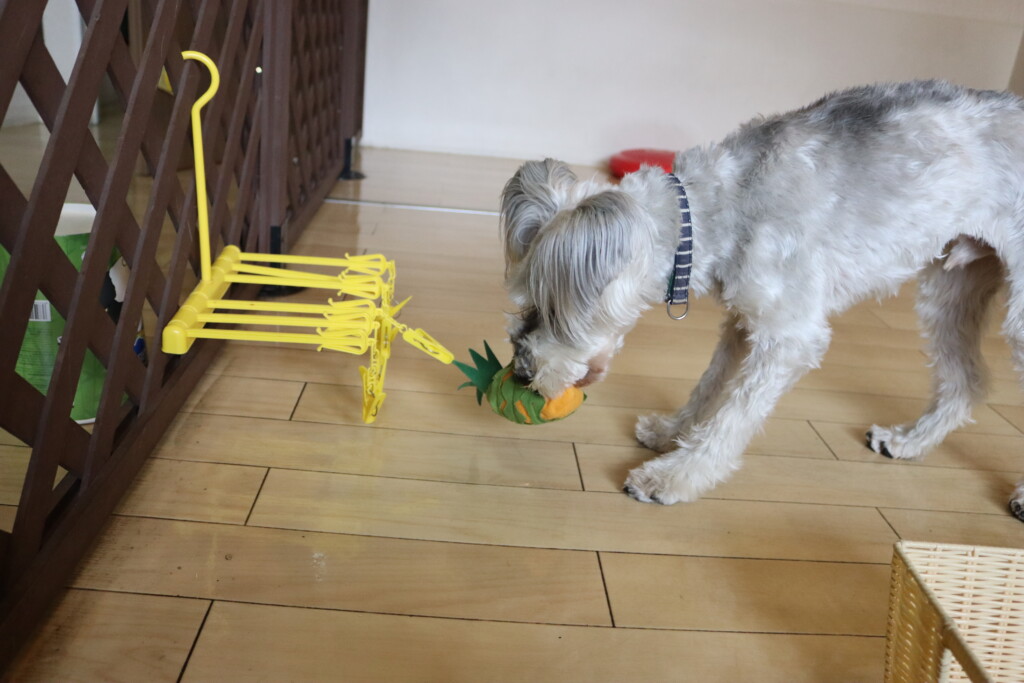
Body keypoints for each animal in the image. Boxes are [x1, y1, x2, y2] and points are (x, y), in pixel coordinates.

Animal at [500, 79, 1024, 520]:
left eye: (555, 310)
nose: (521, 373)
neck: (714, 208)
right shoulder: (743, 320)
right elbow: (709, 384)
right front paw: (673, 432)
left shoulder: (788, 336)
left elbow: (733, 416)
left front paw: (674, 476)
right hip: (952, 289)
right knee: (965, 382)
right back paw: (910, 441)